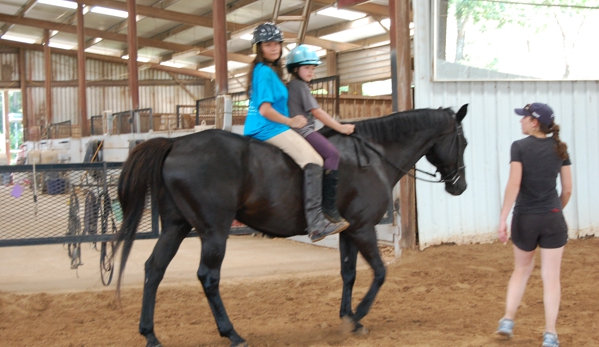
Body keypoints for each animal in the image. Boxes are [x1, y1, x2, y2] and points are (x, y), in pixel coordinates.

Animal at [112, 104, 468, 346]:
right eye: (462, 142)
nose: (460, 187)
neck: (374, 156)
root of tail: (175, 144)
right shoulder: (364, 228)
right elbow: (380, 273)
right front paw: (358, 318)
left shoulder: (348, 231)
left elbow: (348, 273)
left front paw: (347, 317)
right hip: (213, 231)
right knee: (208, 277)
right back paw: (233, 334)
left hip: (176, 226)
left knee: (154, 269)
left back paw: (151, 335)